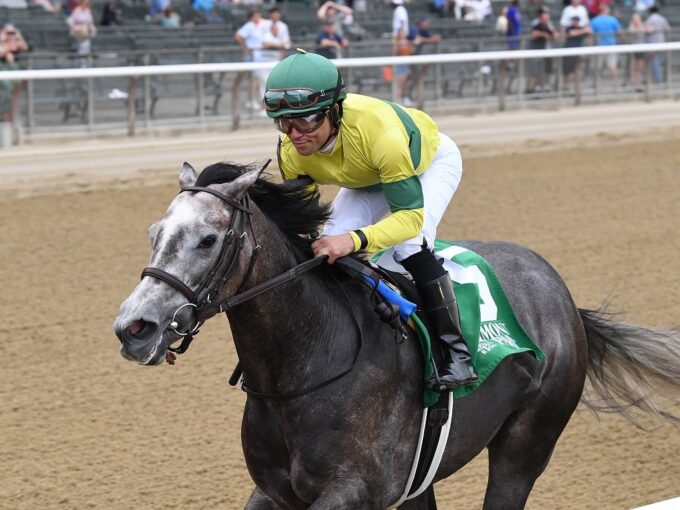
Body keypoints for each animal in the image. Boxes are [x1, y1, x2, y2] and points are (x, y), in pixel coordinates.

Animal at [114, 161, 676, 508]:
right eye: (153, 233)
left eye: (208, 240)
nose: (133, 328)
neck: (307, 365)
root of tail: (559, 293)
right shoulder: (275, 491)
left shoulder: (355, 491)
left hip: (526, 446)